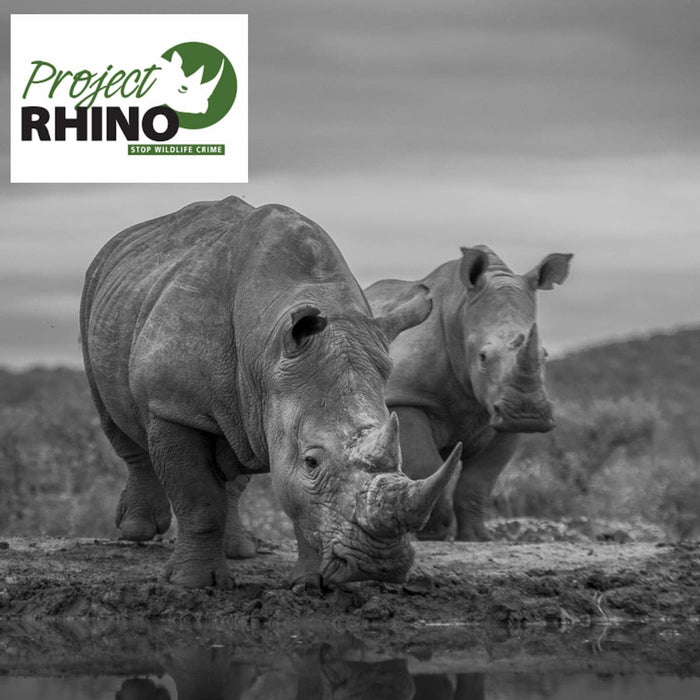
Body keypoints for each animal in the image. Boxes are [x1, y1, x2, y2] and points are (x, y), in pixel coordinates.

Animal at [80, 196, 461, 587]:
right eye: (311, 462)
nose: (379, 565)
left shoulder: (274, 397)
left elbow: (298, 504)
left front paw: (312, 585)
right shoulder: (173, 407)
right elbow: (199, 499)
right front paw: (195, 583)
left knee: (235, 451)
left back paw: (239, 551)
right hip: (96, 292)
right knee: (115, 421)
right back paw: (136, 532)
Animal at [364, 246, 572, 541]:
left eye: (544, 355)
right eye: (483, 357)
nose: (528, 415)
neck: (459, 313)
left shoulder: (501, 418)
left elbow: (478, 482)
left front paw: (477, 538)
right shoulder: (405, 396)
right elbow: (428, 465)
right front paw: (435, 535)